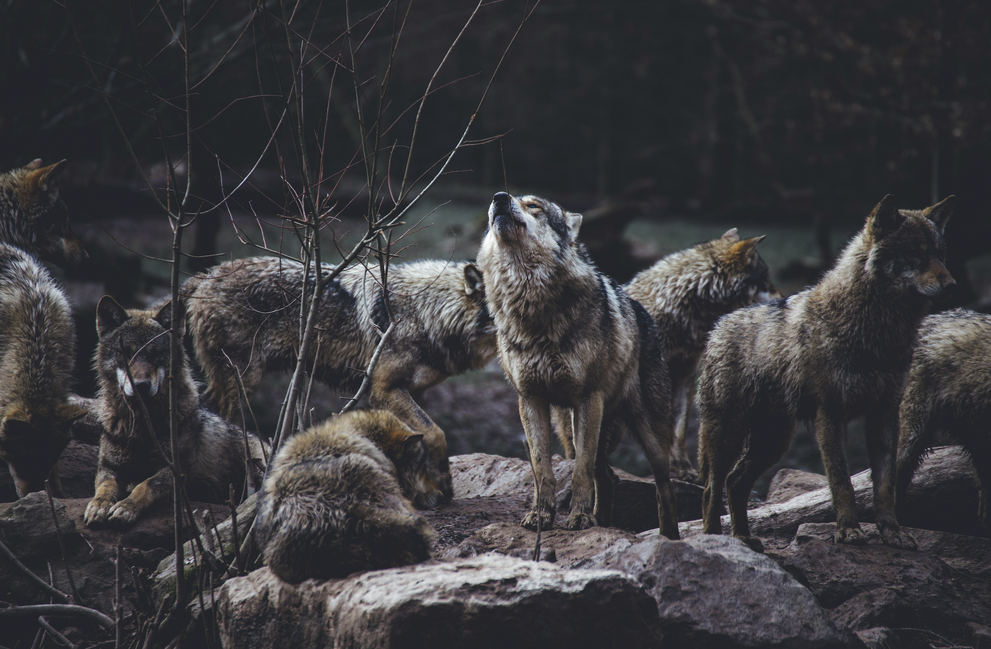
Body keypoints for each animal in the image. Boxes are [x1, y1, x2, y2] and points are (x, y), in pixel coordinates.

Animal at [84, 296, 266, 527]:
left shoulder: (175, 471)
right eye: (126, 353)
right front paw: (98, 505)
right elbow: (105, 486)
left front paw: (126, 507)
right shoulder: (109, 467)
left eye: (156, 354)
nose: (141, 385)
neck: (143, 426)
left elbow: (144, 485)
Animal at [182, 256, 497, 505]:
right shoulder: (384, 389)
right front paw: (443, 484)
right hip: (243, 383)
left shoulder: (414, 392)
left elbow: (421, 438)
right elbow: (435, 433)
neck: (427, 312)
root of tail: (204, 275)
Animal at [475, 192, 679, 537]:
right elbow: (541, 468)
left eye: (534, 206)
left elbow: (580, 471)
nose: (499, 198)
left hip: (647, 434)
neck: (530, 305)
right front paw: (540, 516)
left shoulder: (587, 398)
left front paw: (580, 519)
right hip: (575, 425)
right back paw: (603, 523)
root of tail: (643, 312)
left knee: (663, 488)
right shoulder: (530, 399)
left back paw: (669, 537)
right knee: (608, 478)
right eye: (507, 198)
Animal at [554, 229, 780, 480]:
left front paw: (683, 469)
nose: (783, 298)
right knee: (574, 450)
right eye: (766, 279)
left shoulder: (685, 377)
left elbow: (679, 433)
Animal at [697, 195, 955, 552]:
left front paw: (892, 533)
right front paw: (848, 531)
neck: (877, 332)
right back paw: (715, 539)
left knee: (735, 482)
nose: (952, 285)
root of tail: (719, 325)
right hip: (729, 434)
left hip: (773, 441)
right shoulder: (830, 414)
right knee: (713, 485)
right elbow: (841, 481)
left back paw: (744, 539)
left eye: (940, 254)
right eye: (915, 254)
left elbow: (885, 486)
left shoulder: (885, 414)